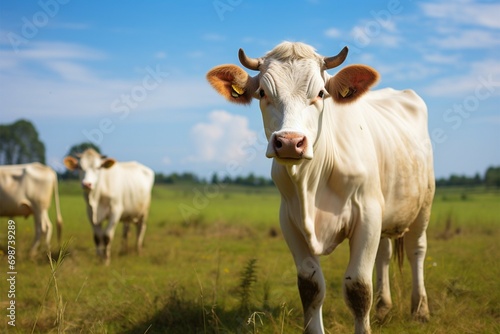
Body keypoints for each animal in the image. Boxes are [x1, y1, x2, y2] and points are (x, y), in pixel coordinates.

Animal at [206, 42, 434, 334]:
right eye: (262, 93)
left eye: (321, 93)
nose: (289, 142)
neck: (311, 185)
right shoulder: (290, 221)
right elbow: (310, 287)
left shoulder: (367, 214)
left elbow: (358, 287)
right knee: (384, 254)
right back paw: (384, 308)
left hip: (423, 204)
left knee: (418, 250)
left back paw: (420, 310)